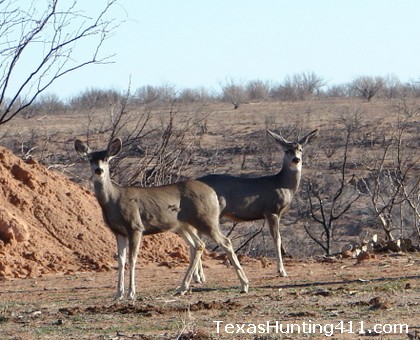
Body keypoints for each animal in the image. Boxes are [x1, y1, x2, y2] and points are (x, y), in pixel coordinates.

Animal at [74, 137, 249, 300]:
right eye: (90, 159)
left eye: (106, 159)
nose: (99, 170)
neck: (113, 200)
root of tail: (213, 193)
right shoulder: (118, 231)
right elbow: (121, 261)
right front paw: (118, 294)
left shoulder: (135, 226)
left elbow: (132, 259)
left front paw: (131, 294)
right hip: (183, 226)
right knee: (198, 245)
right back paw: (182, 288)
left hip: (206, 219)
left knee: (225, 242)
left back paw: (244, 285)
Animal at [198, 127, 318, 276]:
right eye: (286, 150)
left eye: (300, 149)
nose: (296, 159)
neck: (283, 184)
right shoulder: (271, 210)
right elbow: (277, 239)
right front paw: (281, 271)